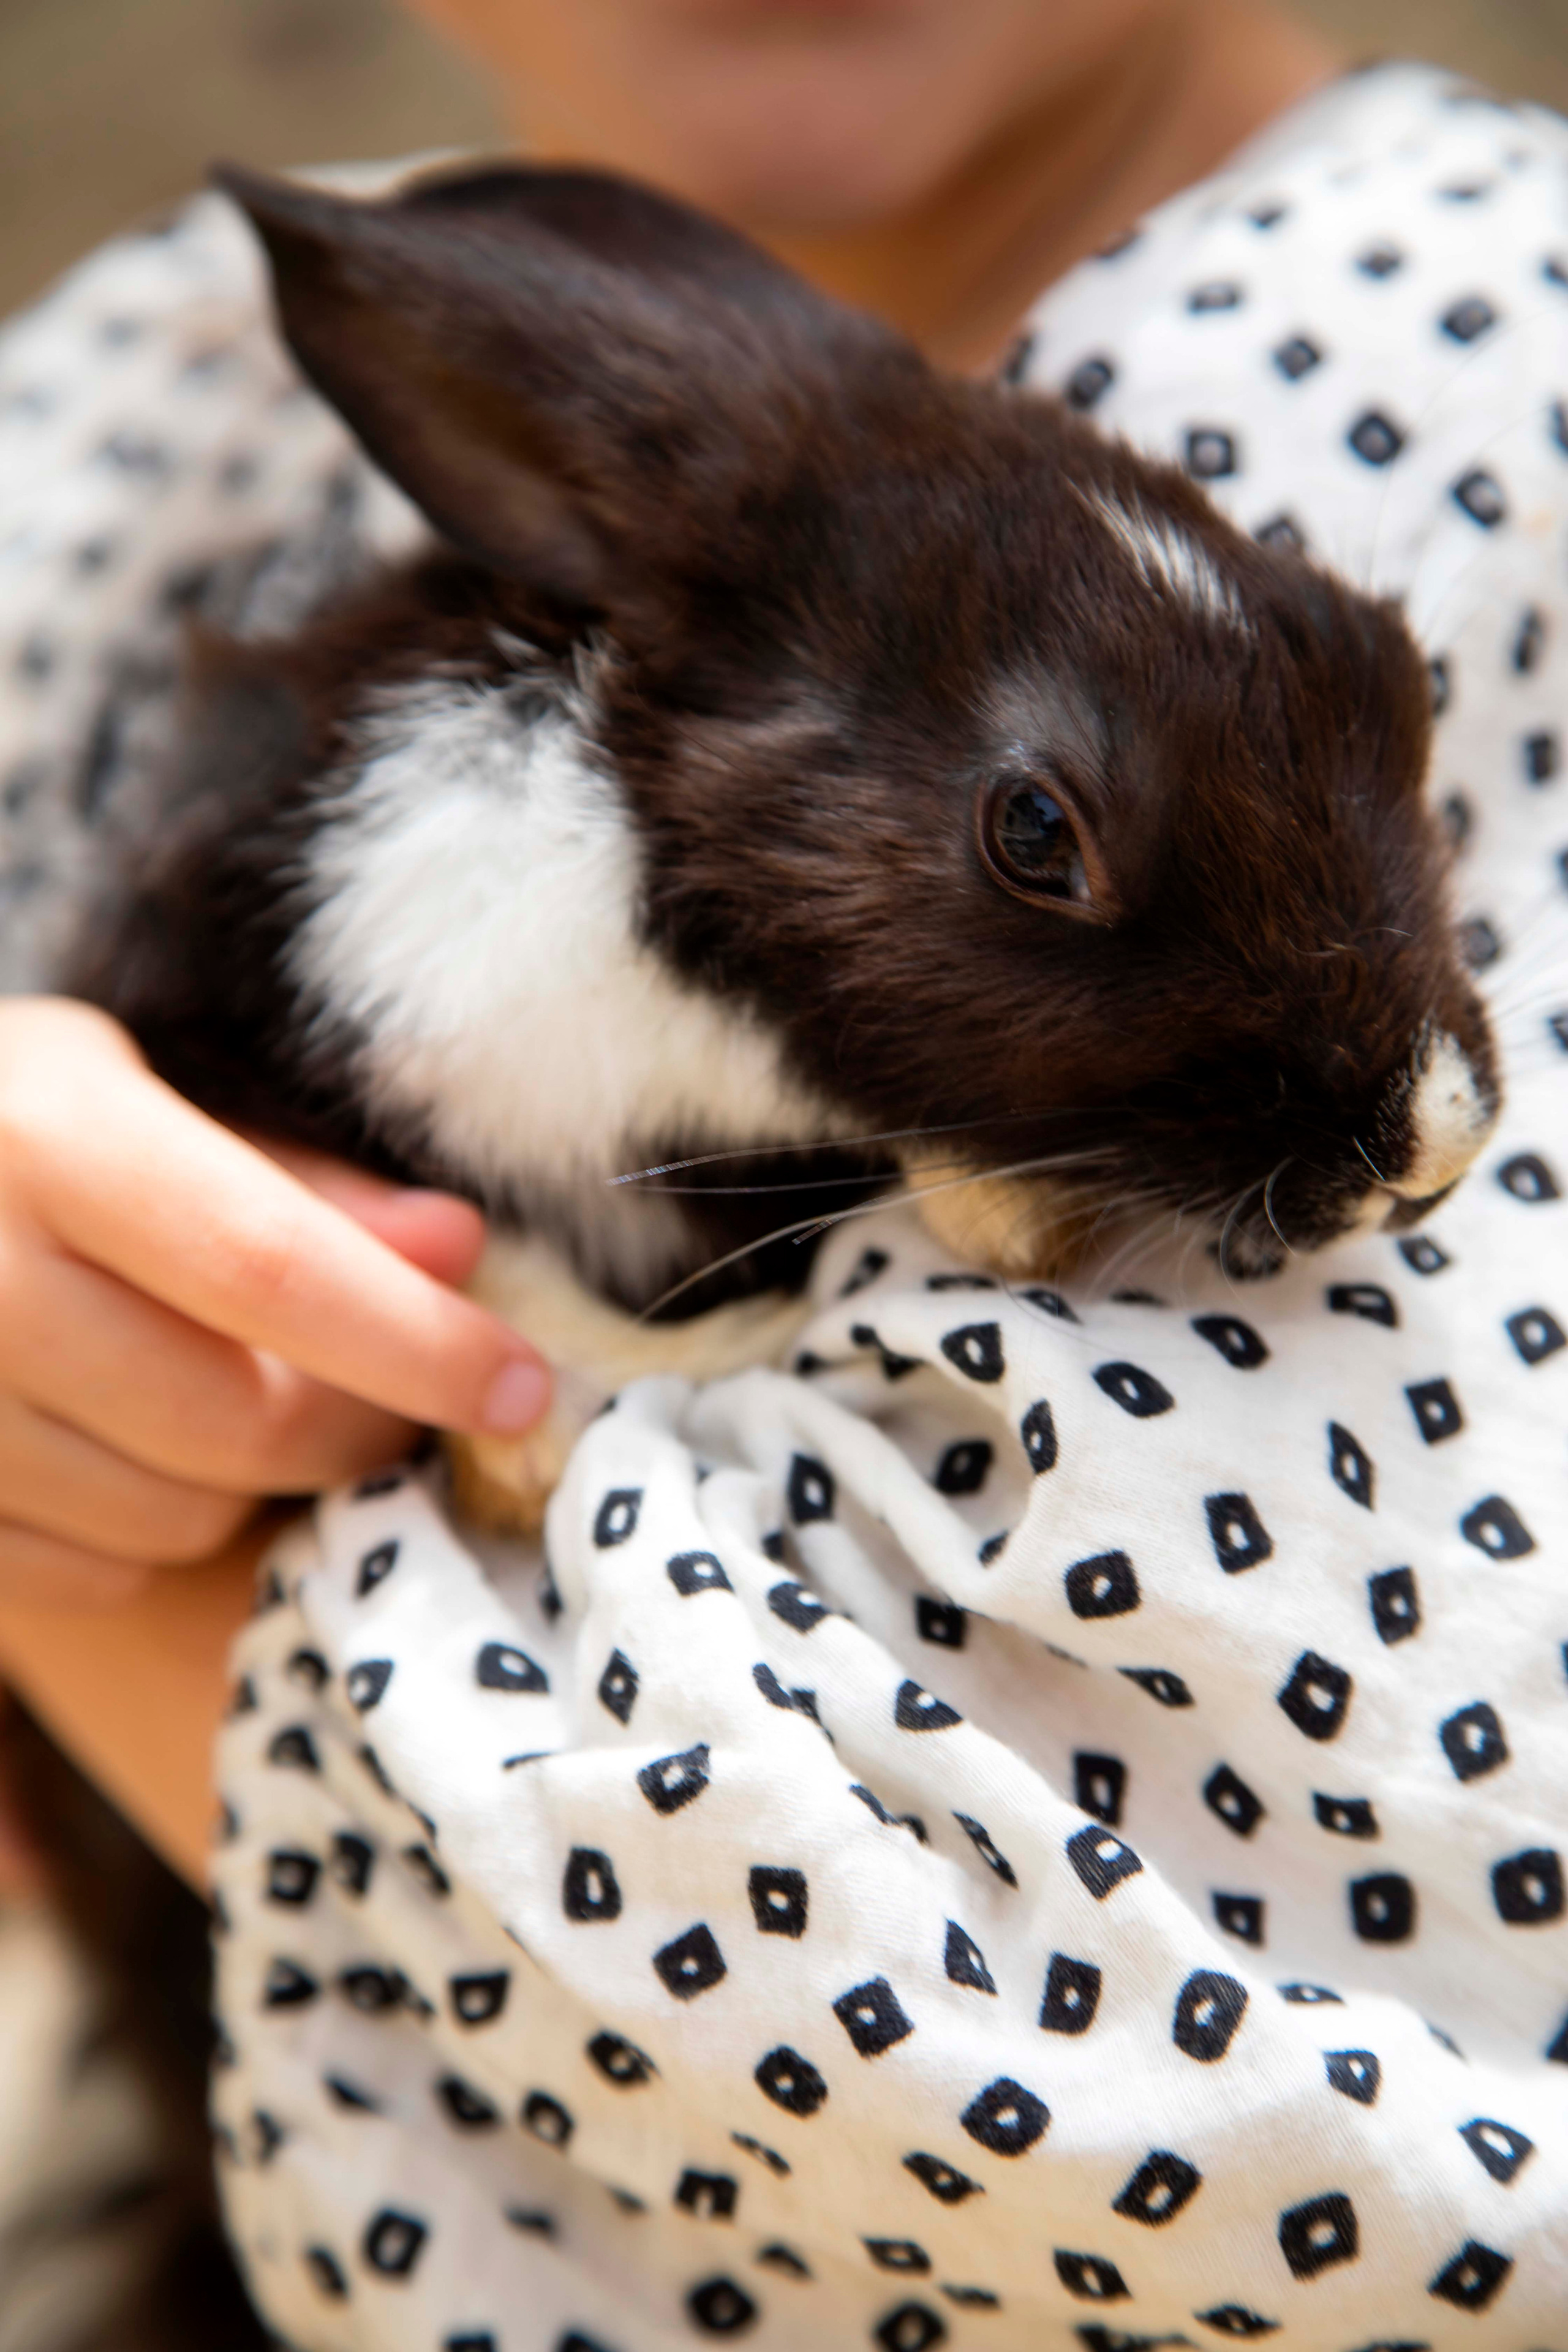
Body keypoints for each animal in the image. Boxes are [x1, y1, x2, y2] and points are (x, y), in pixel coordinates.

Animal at [72, 159, 1501, 1528]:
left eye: (1387, 659)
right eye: (1034, 832)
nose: (1428, 1145)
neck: (673, 953)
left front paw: (1002, 1212)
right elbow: (473, 1246)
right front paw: (537, 1441)